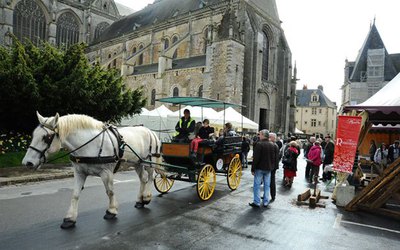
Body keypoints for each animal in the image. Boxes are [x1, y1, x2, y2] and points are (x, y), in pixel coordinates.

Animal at [21, 112, 161, 229]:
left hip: (148, 161)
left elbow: (110, 192)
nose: (27, 163)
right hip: (137, 163)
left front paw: (111, 210)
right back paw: (140, 200)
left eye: (46, 137)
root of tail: (150, 131)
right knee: (143, 178)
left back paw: (146, 197)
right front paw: (70, 218)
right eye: (33, 135)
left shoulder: (106, 173)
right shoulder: (79, 173)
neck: (89, 145)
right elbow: (75, 194)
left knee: (150, 177)